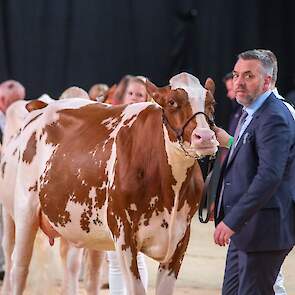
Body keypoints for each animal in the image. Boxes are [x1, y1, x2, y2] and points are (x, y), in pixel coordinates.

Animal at [0, 73, 217, 294]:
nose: (206, 137)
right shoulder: (124, 234)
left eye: (212, 104)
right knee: (17, 267)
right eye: (172, 102)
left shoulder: (180, 238)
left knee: (77, 268)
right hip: (22, 212)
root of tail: (42, 107)